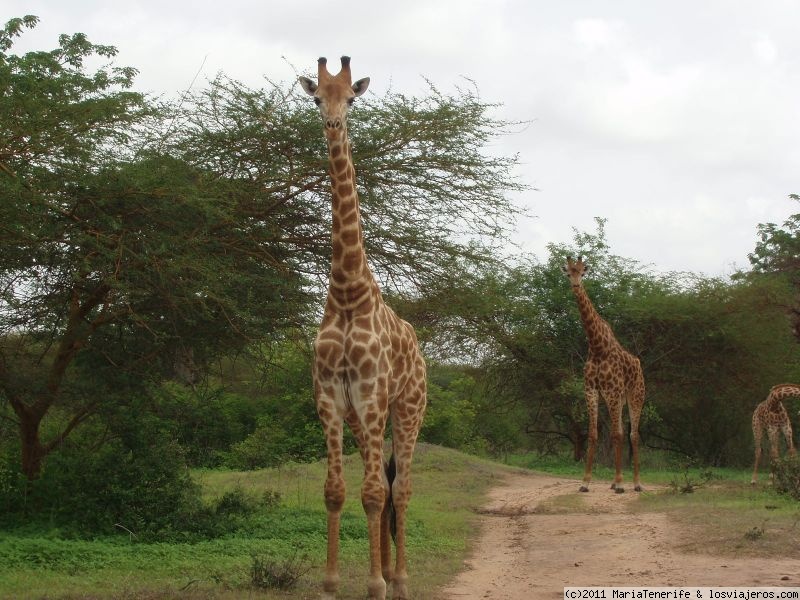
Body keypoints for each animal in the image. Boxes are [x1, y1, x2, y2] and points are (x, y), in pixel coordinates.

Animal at [560, 255, 648, 494]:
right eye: (568, 272)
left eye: (582, 271)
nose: (575, 285)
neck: (597, 347)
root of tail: (639, 365)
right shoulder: (591, 390)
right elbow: (593, 434)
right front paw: (585, 482)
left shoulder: (612, 390)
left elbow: (618, 435)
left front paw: (621, 484)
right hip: (618, 397)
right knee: (621, 431)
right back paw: (615, 482)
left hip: (635, 395)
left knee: (633, 435)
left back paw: (635, 483)